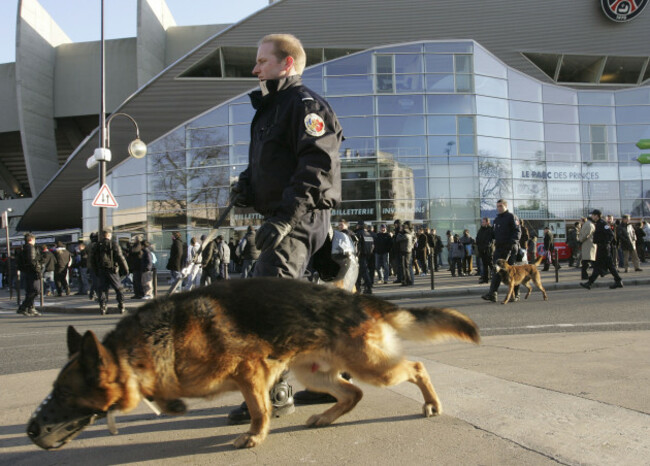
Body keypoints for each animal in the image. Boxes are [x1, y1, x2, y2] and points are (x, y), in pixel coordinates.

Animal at [27, 276, 478, 452]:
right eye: (53, 390)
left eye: (64, 393)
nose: (31, 430)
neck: (139, 351)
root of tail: (355, 298)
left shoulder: (251, 371)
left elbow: (260, 408)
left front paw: (255, 436)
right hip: (312, 371)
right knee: (352, 393)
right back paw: (324, 417)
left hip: (373, 366)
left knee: (416, 367)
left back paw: (431, 403)